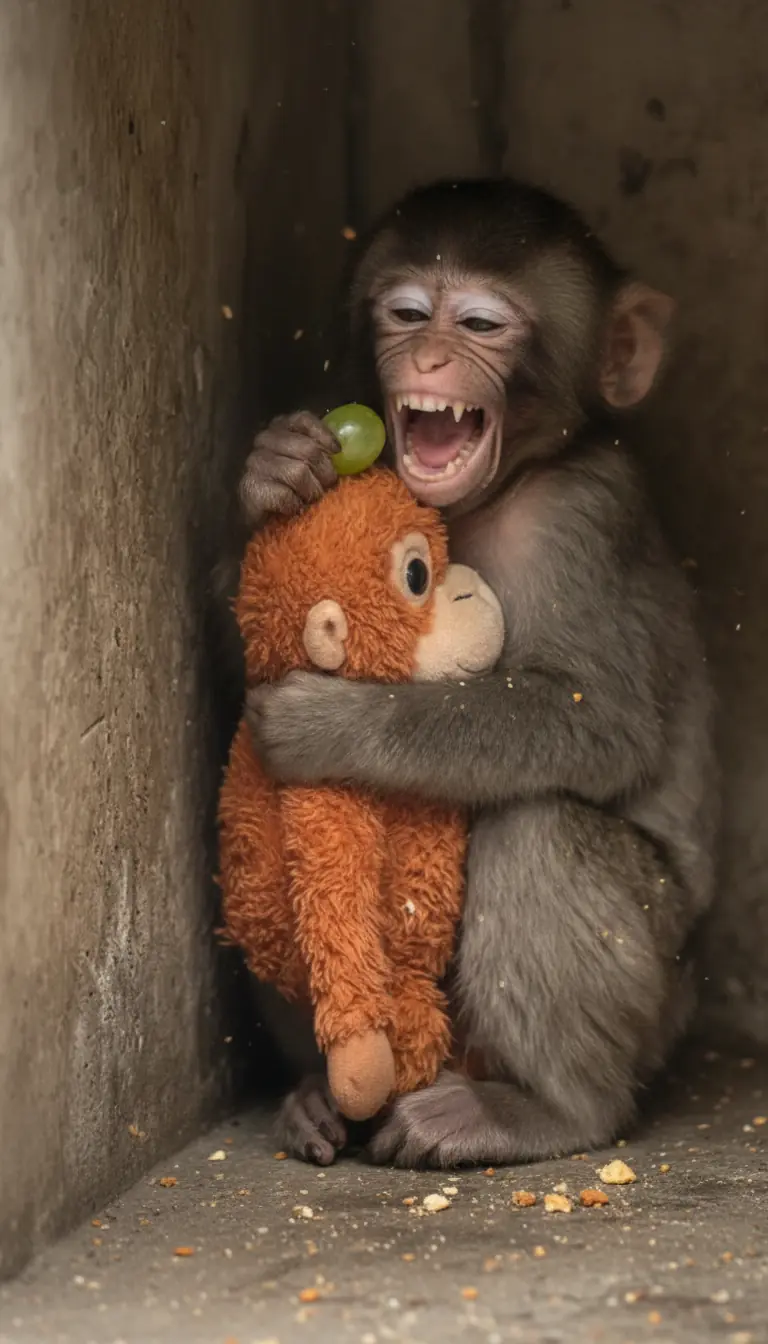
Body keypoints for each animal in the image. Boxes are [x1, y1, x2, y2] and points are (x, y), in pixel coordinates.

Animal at [234, 178, 718, 1169]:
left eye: (482, 324)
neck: (506, 485)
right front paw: (274, 470)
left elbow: (596, 719)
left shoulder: (585, 514)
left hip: (662, 992)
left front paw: (330, 727)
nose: (427, 355)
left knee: (537, 826)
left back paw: (549, 1111)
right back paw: (321, 1097)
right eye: (408, 313)